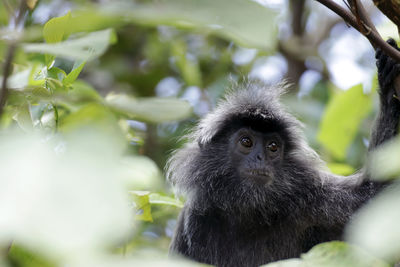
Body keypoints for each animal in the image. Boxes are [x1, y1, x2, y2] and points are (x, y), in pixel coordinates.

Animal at [166, 40, 400, 267]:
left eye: (273, 147)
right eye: (246, 142)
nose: (260, 158)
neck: (248, 210)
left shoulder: (315, 199)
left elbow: (375, 194)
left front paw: (389, 78)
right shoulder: (195, 218)